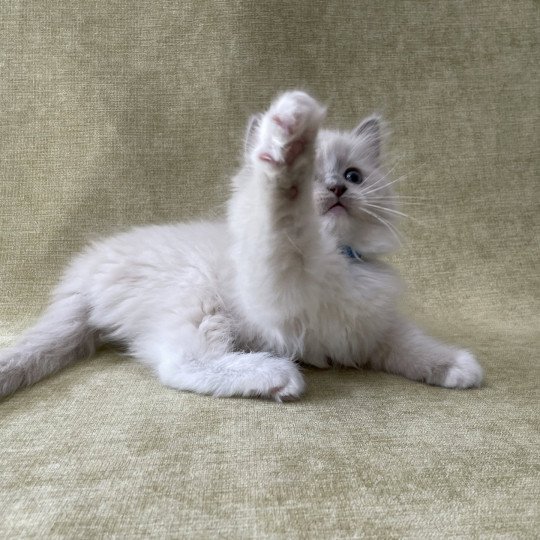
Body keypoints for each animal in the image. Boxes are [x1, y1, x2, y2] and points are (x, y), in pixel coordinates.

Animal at [0, 89, 480, 400]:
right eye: (315, 179)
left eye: (353, 176)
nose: (336, 190)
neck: (338, 258)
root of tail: (82, 271)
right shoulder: (281, 290)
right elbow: (283, 219)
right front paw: (288, 137)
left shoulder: (371, 327)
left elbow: (413, 345)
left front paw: (457, 367)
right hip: (196, 300)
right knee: (179, 364)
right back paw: (274, 375)